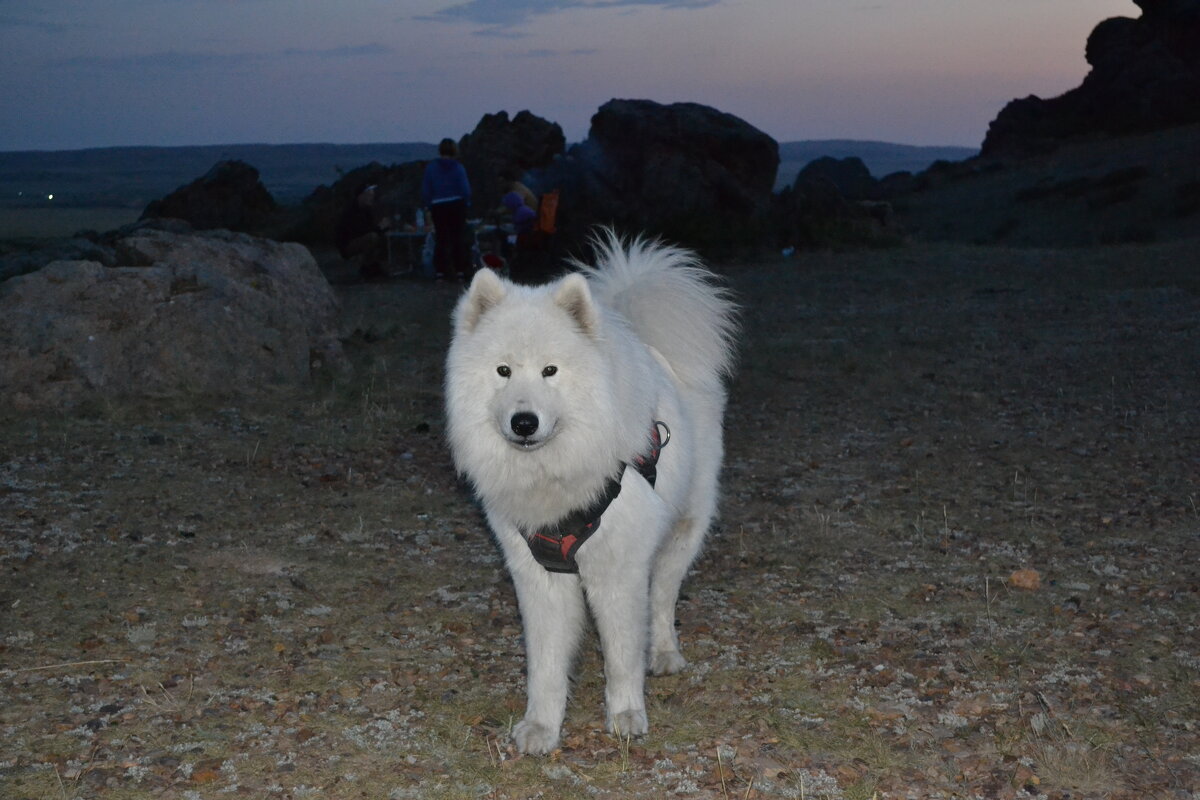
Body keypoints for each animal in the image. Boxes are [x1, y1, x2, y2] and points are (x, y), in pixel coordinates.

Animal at [446, 231, 734, 758]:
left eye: (550, 370)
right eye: (503, 371)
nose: (524, 422)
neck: (555, 476)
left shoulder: (617, 571)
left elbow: (621, 654)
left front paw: (625, 715)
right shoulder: (537, 575)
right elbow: (545, 664)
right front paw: (541, 727)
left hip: (683, 530)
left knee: (662, 599)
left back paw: (664, 653)